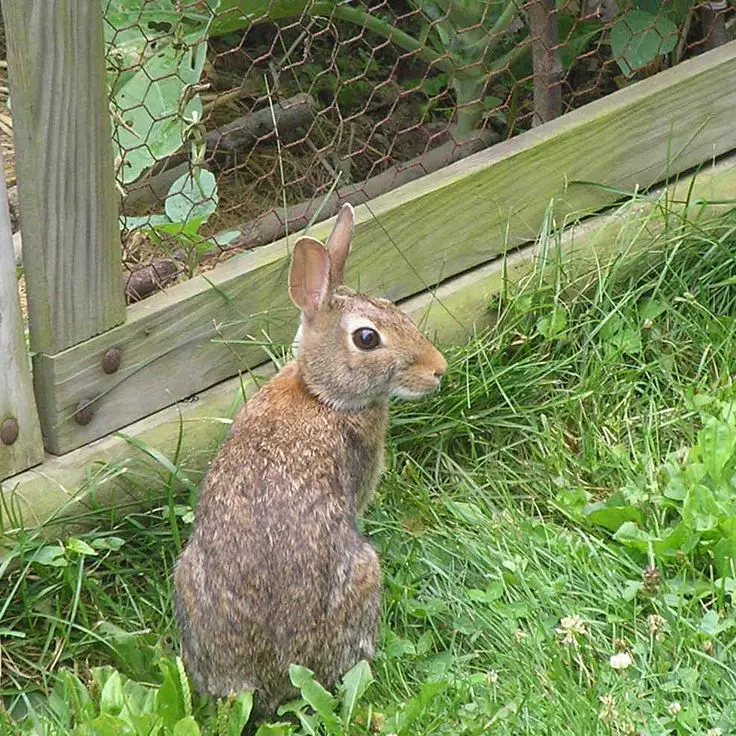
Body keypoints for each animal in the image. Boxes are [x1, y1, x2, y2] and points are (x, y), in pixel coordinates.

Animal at [174, 204, 448, 720]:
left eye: (390, 305)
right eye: (367, 338)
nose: (438, 370)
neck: (320, 394)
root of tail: (271, 679)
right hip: (363, 574)